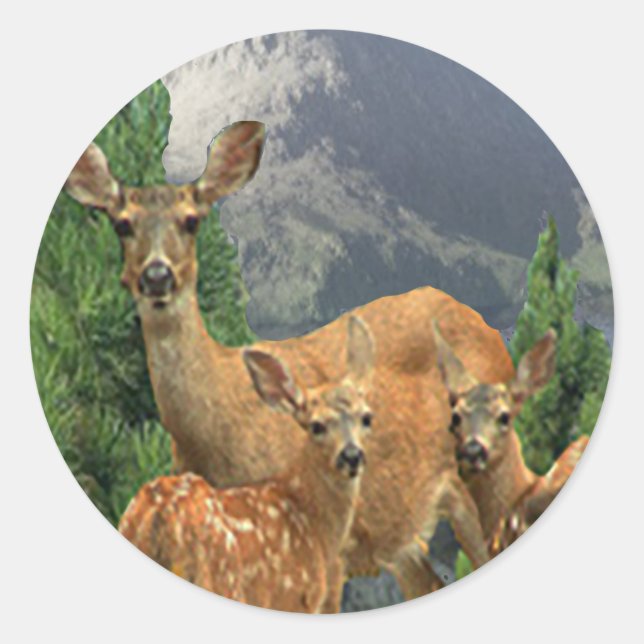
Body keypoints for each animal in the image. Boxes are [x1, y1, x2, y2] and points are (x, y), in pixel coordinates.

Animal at [119, 316, 374, 613]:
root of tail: (159, 519)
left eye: (367, 418)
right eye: (317, 425)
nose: (351, 455)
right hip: (221, 580)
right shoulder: (294, 599)